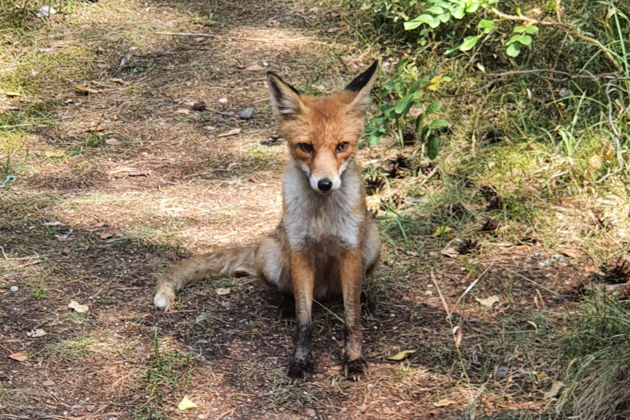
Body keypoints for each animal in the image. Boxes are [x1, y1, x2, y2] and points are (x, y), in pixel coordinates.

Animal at [156, 62, 382, 380]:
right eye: (306, 147)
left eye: (342, 146)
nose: (325, 184)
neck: (322, 217)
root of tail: (325, 292)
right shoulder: (299, 251)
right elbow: (304, 320)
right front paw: (300, 359)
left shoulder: (350, 249)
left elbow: (352, 318)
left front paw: (353, 358)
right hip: (271, 255)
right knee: (293, 295)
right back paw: (287, 305)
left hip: (372, 241)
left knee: (348, 294)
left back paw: (364, 297)